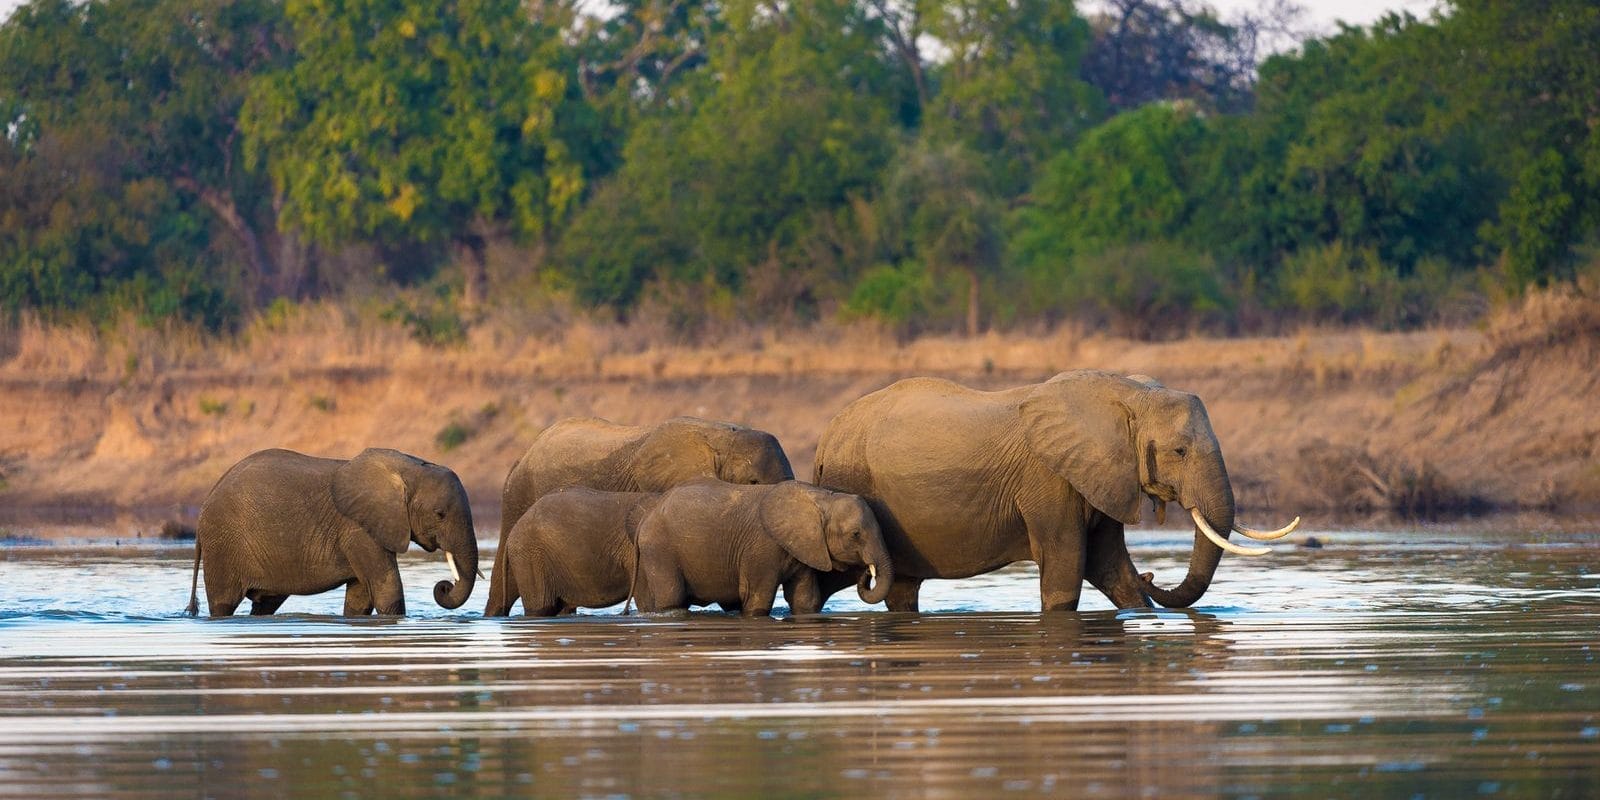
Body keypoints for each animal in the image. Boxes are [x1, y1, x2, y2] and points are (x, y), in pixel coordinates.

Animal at [184, 447, 479, 617]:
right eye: (440, 514)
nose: (443, 586)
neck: (409, 468)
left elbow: (361, 598)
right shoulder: (358, 530)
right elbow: (387, 589)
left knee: (264, 604)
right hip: (222, 545)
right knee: (223, 603)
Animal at [632, 480, 894, 618]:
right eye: (855, 534)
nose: (866, 571)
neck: (822, 498)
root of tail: (646, 517)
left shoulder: (804, 549)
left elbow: (805, 599)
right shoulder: (761, 550)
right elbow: (758, 598)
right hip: (659, 550)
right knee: (672, 598)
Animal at [811, 370, 1298, 612]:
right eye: (1179, 451)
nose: (1153, 575)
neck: (1128, 394)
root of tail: (824, 438)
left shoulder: (1099, 475)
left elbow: (1109, 566)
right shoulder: (1048, 479)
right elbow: (1067, 566)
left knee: (901, 588)